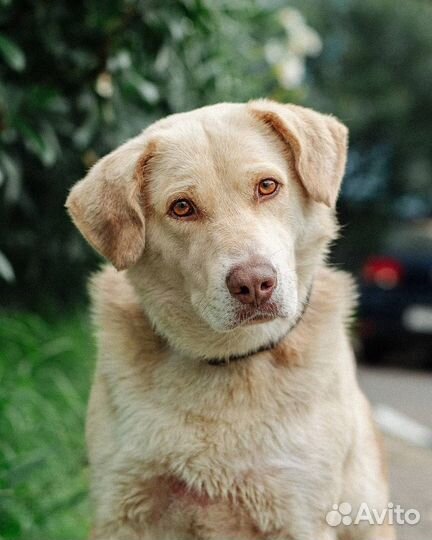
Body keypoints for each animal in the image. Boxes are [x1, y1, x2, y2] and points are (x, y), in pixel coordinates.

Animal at [66, 101, 394, 540]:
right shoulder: (123, 507)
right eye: (182, 207)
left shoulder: (298, 511)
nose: (255, 284)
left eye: (267, 186)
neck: (231, 360)